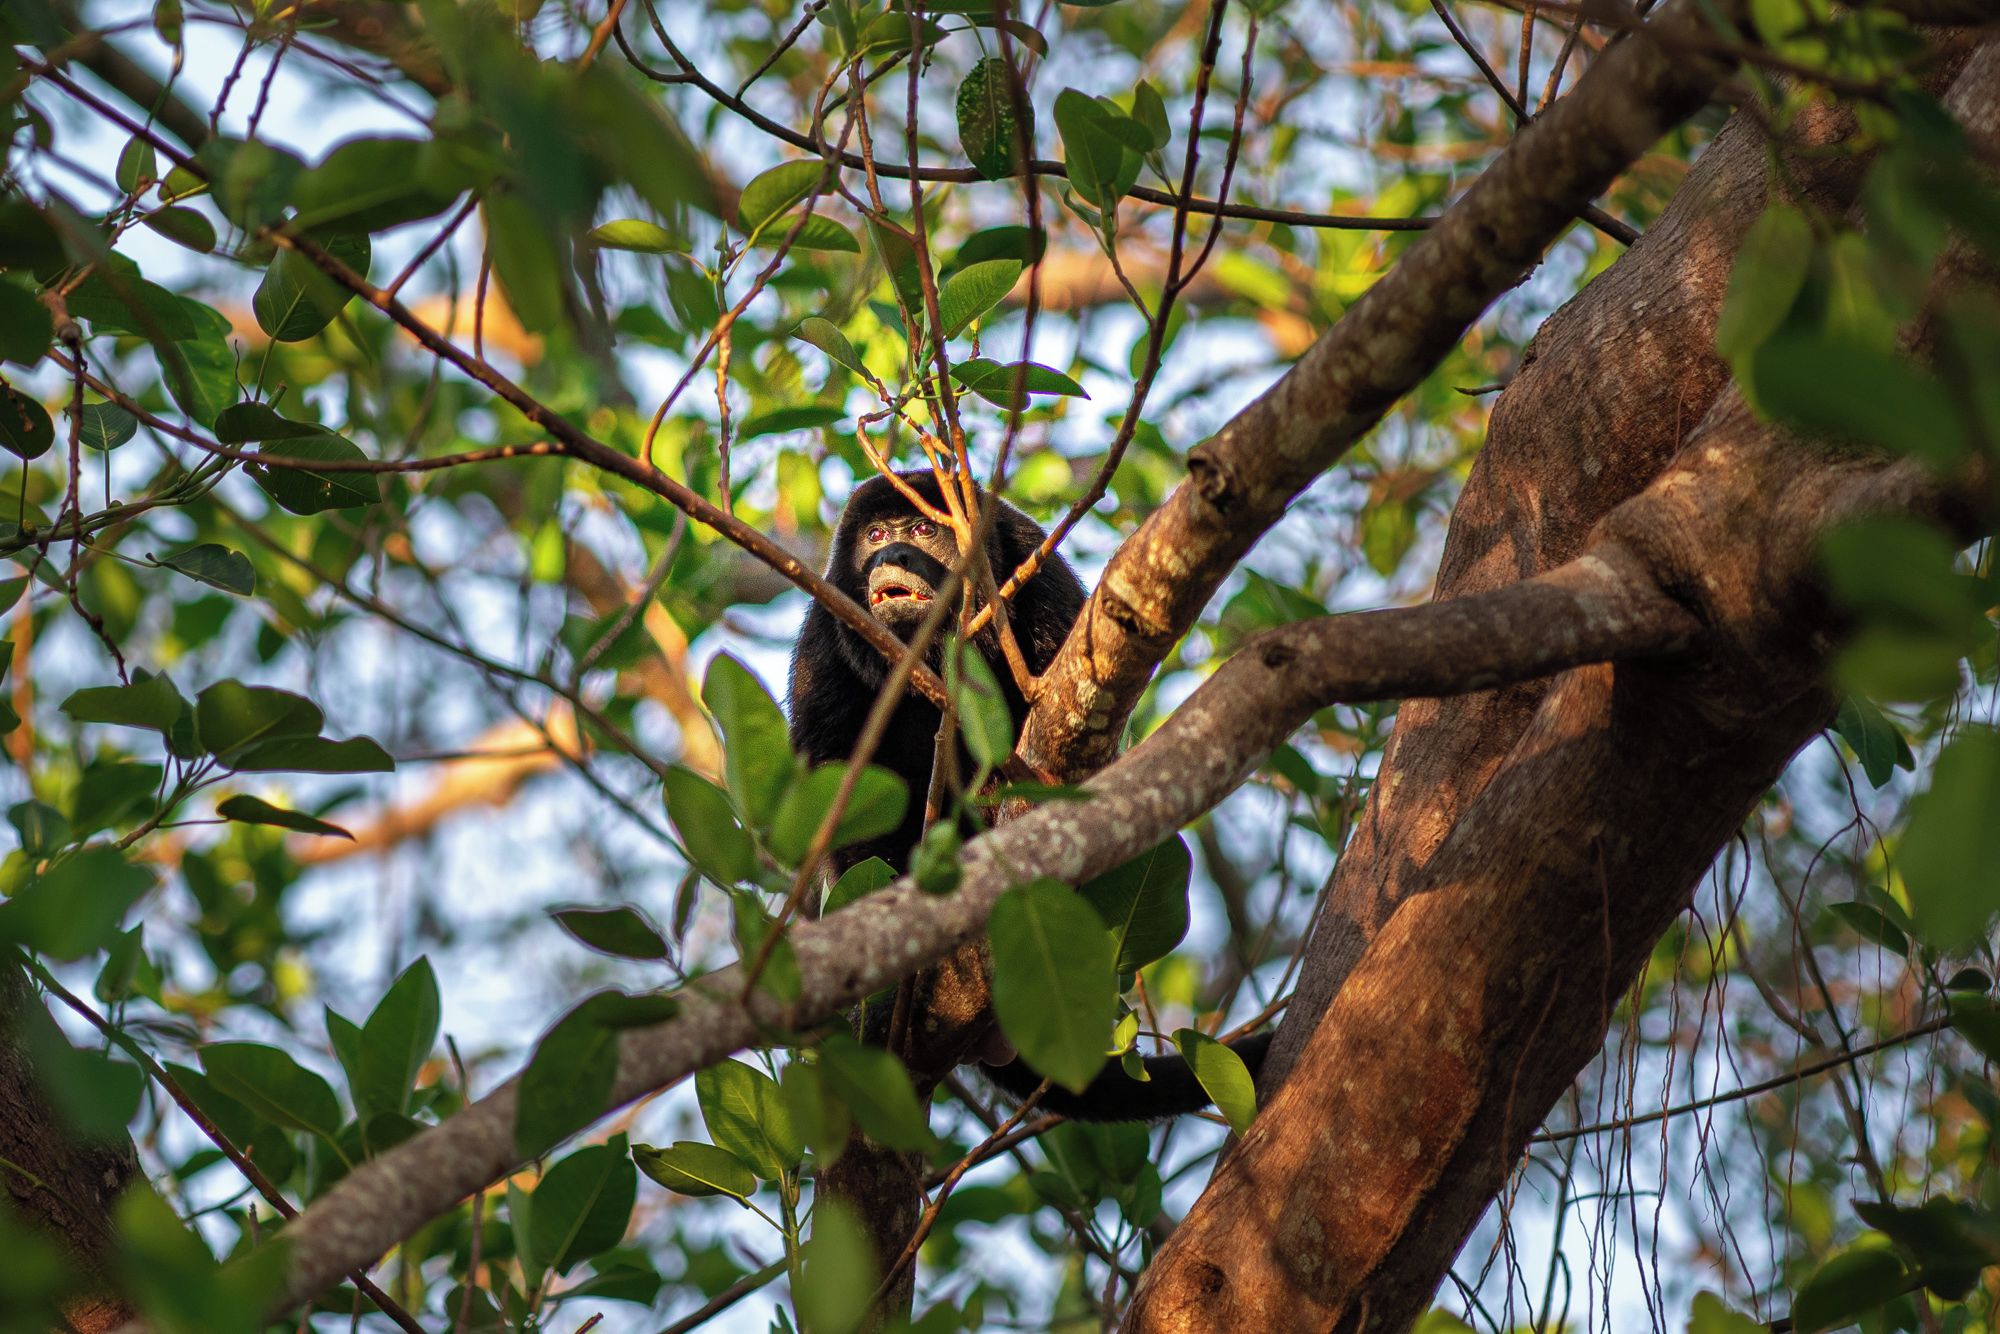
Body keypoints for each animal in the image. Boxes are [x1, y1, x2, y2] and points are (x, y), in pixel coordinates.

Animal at [787, 468, 1272, 1122]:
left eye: (921, 530)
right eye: (876, 535)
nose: (891, 555)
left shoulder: (1040, 579)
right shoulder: (823, 644)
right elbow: (843, 807)